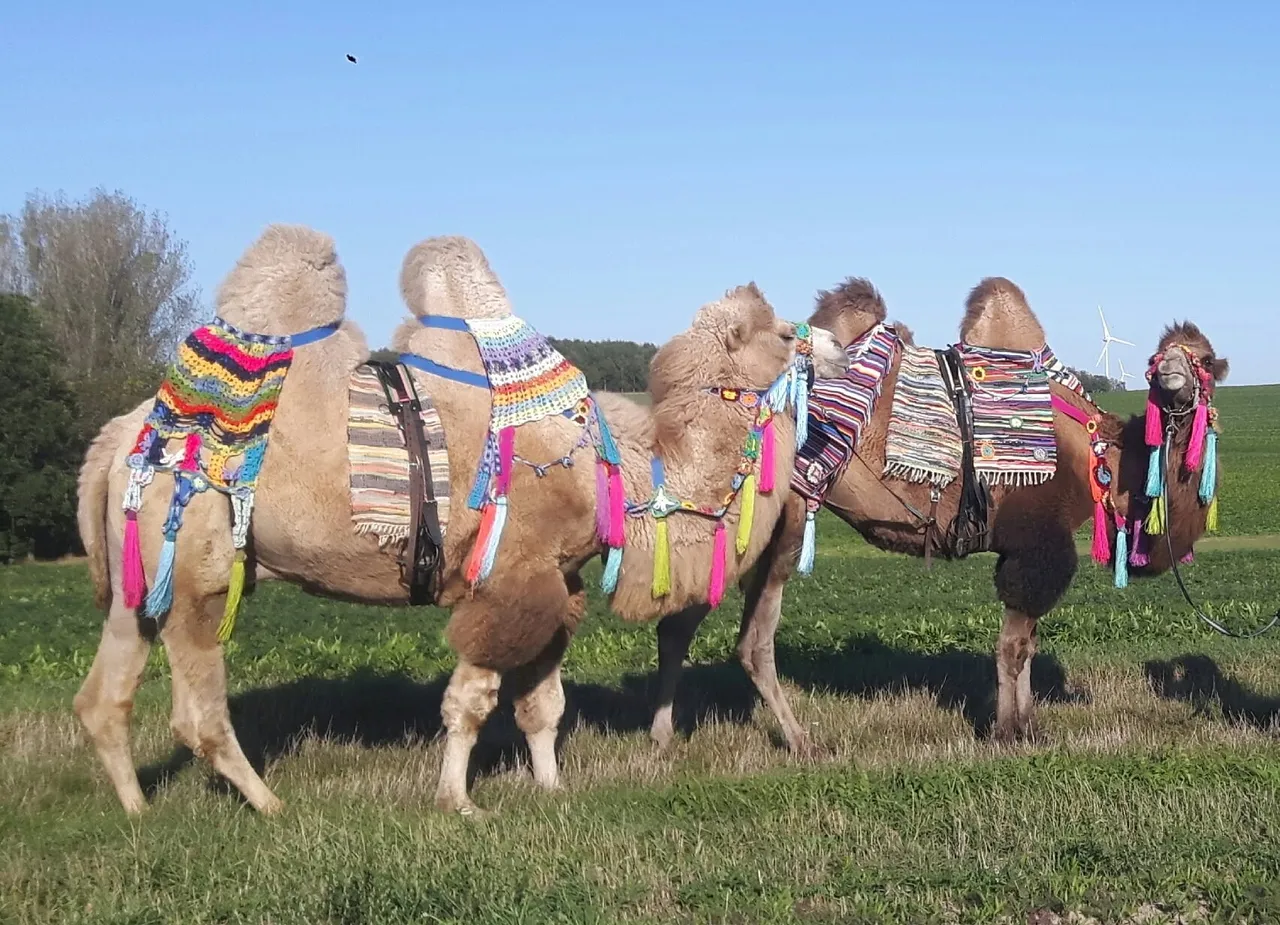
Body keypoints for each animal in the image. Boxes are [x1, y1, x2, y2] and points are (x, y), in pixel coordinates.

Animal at [72, 224, 849, 816]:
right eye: (785, 334)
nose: (837, 345)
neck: (623, 473)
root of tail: (113, 440)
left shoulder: (559, 581)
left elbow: (542, 706)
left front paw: (551, 788)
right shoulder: (508, 578)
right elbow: (471, 701)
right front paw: (460, 802)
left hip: (138, 582)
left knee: (104, 697)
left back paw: (137, 812)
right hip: (196, 571)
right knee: (197, 711)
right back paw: (270, 806)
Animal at [645, 275, 1228, 752]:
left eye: (1203, 360)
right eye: (1161, 359)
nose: (1172, 372)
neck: (1097, 454)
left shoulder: (1025, 550)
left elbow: (1028, 645)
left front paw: (1030, 725)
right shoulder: (1040, 544)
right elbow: (1012, 646)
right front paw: (1007, 732)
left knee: (684, 624)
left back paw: (665, 738)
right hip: (776, 520)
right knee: (748, 640)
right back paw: (801, 742)